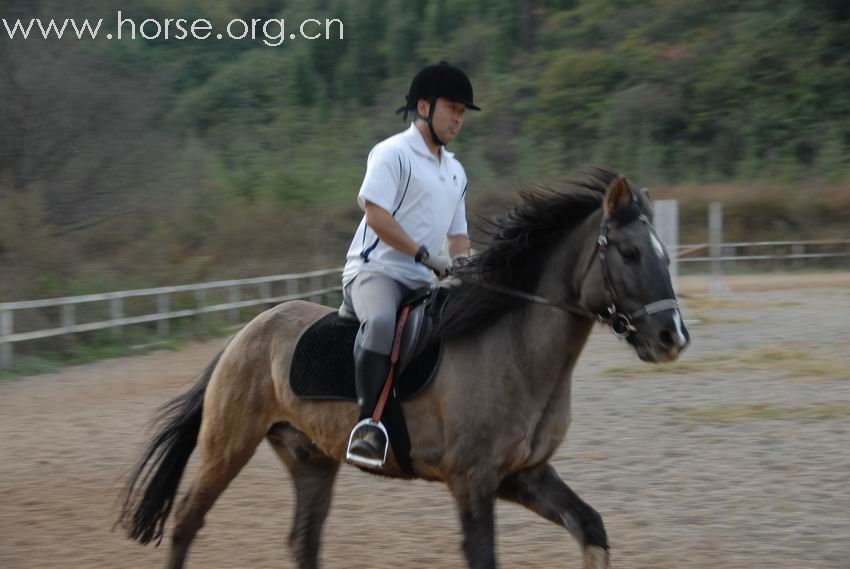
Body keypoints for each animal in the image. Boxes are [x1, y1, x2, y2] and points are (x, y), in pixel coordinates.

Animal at [117, 169, 688, 568]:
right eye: (630, 253)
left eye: (664, 254)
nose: (672, 338)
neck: (514, 349)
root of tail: (246, 334)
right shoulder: (473, 480)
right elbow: (486, 558)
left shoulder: (523, 474)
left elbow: (591, 528)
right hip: (227, 446)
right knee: (187, 522)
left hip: (310, 459)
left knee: (303, 541)